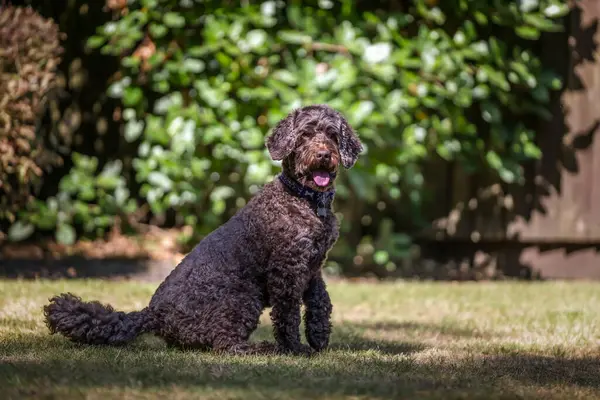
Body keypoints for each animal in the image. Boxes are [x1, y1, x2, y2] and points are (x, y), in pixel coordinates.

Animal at [44, 104, 364, 356]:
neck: (305, 200)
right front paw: (295, 348)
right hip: (242, 297)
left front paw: (319, 338)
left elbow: (321, 301)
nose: (323, 155)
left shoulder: (312, 266)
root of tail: (152, 314)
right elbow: (287, 315)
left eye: (332, 135)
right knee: (225, 344)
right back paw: (261, 348)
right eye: (305, 135)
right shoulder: (286, 272)